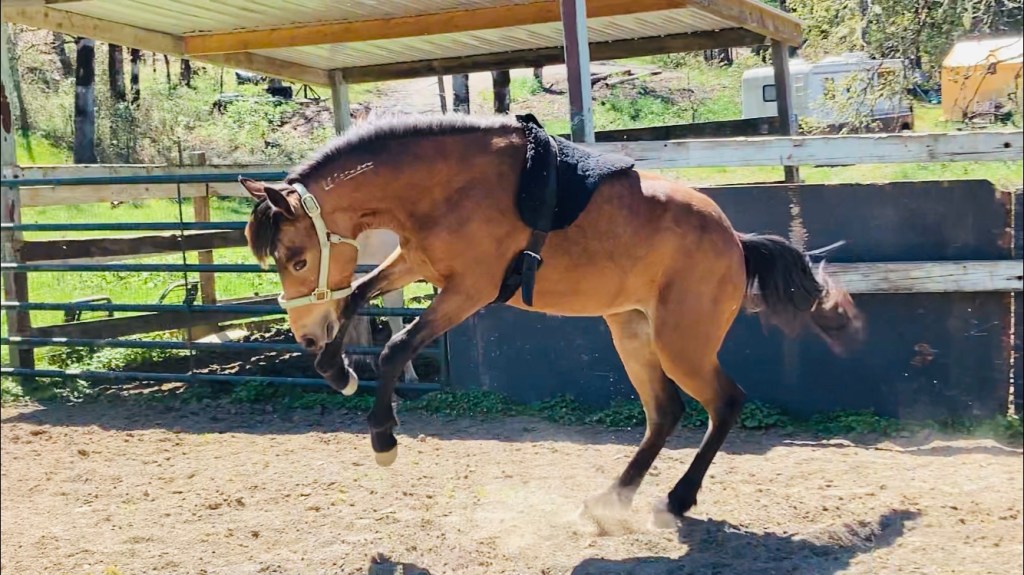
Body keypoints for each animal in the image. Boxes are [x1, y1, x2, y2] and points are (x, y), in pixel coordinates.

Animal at [239, 113, 864, 522]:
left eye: (297, 259)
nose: (304, 336)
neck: (451, 183)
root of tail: (735, 241)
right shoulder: (415, 261)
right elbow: (357, 296)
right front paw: (336, 369)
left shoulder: (467, 291)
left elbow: (396, 347)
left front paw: (383, 437)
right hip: (631, 330)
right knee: (666, 412)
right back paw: (613, 498)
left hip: (681, 344)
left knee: (725, 403)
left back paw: (678, 499)